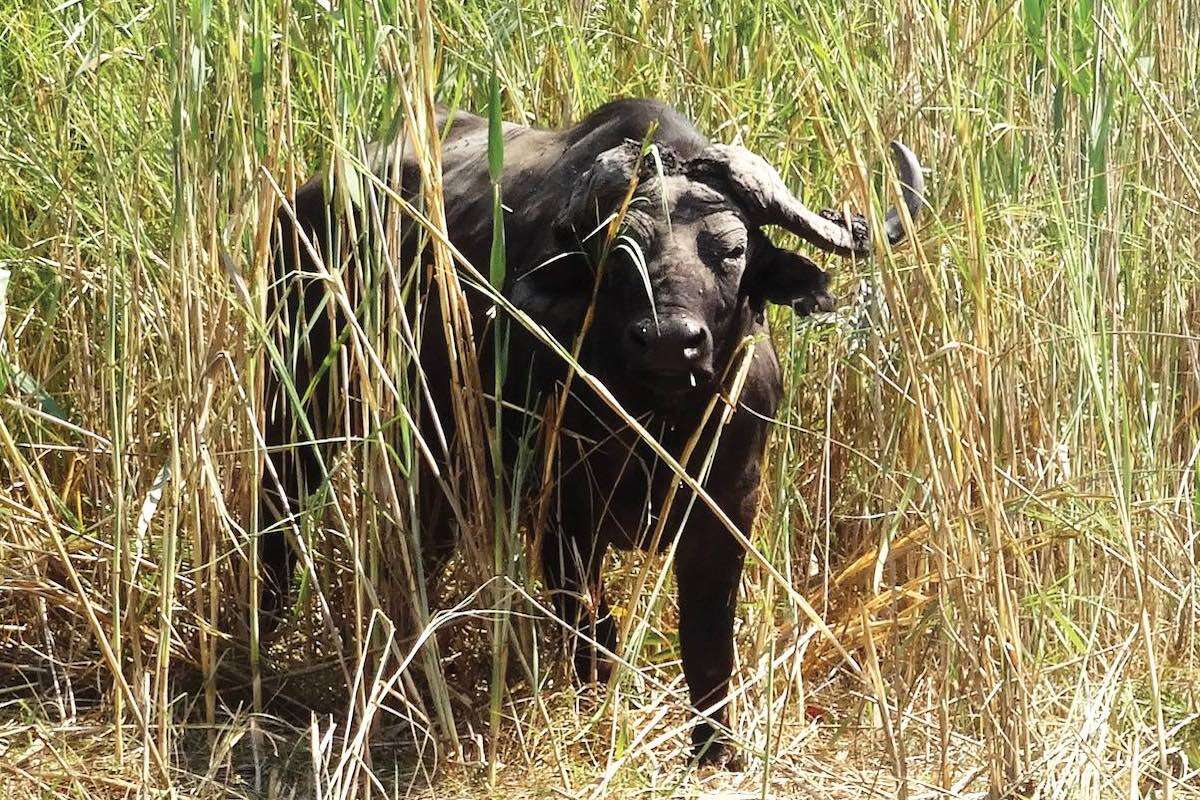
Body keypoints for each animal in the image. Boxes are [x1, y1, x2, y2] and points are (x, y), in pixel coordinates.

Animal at [258, 100, 921, 767]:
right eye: (620, 250)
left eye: (732, 250)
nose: (669, 341)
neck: (659, 424)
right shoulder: (561, 511)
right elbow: (591, 629)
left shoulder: (728, 506)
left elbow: (707, 638)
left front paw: (715, 749)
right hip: (297, 401)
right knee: (279, 514)